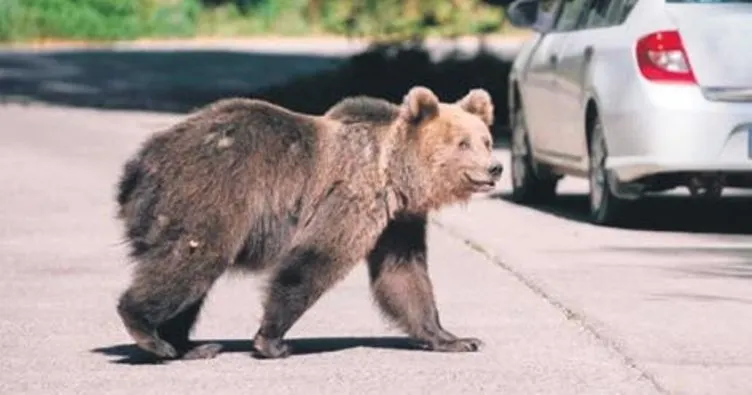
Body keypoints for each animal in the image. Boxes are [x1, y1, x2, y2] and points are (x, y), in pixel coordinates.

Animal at [116, 86, 506, 362]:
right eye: (463, 143)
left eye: (485, 140)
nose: (495, 167)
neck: (394, 175)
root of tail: (140, 163)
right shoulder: (351, 196)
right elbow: (316, 259)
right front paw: (271, 341)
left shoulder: (397, 221)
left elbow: (403, 274)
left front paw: (455, 338)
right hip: (210, 192)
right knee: (192, 260)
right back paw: (150, 333)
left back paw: (188, 345)